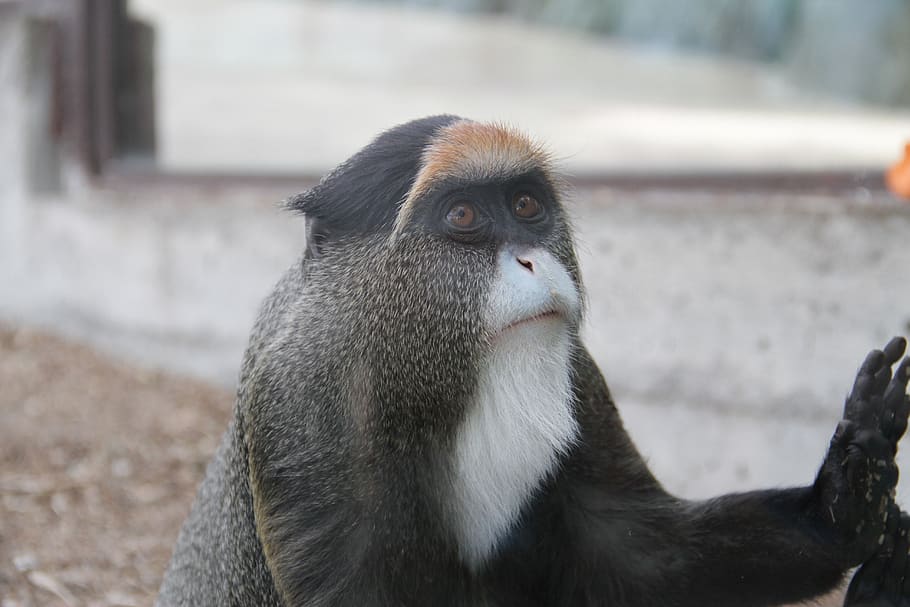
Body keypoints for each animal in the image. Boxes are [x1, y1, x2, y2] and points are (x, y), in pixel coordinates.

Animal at [157, 115, 910, 607]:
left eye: (525, 204)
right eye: (463, 216)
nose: (531, 259)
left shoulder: (581, 377)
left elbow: (643, 551)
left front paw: (849, 493)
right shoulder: (307, 408)